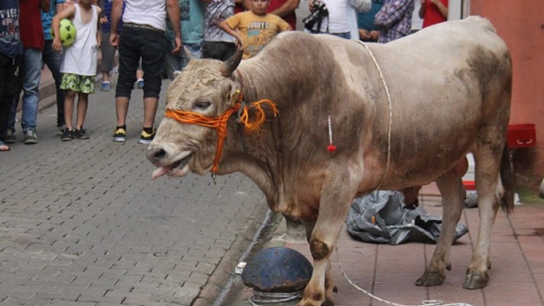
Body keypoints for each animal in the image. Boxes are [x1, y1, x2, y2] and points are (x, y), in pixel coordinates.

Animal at [147, 16, 512, 306]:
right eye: (169, 97)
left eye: (203, 102)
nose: (156, 151)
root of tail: (479, 23)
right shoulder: (307, 189)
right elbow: (314, 242)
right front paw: (328, 287)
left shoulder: (341, 180)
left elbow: (322, 243)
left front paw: (312, 295)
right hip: (443, 153)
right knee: (453, 202)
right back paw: (435, 268)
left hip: (490, 138)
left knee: (489, 198)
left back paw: (477, 268)